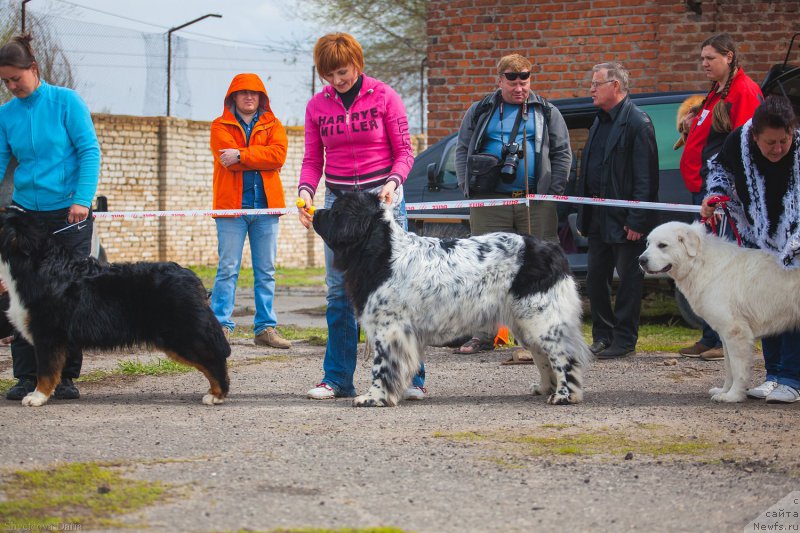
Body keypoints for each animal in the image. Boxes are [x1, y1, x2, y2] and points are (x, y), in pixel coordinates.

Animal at [0, 206, 230, 406]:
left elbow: (46, 371)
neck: (36, 264)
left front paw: (37, 397)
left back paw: (216, 395)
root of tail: (190, 276)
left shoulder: (48, 335)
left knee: (214, 358)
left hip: (183, 334)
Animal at [310, 193, 588, 406]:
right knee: (543, 357)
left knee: (564, 356)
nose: (314, 213)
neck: (382, 251)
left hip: (542, 318)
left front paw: (374, 398)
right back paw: (545, 389)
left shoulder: (389, 329)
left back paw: (564, 396)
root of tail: (553, 250)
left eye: (336, 210)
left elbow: (381, 367)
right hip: (525, 323)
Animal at [640, 222, 800, 402]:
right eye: (648, 244)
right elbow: (729, 367)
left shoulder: (735, 332)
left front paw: (733, 396)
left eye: (662, 245)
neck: (700, 262)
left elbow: (738, 370)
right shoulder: (725, 335)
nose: (641, 260)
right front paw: (724, 391)